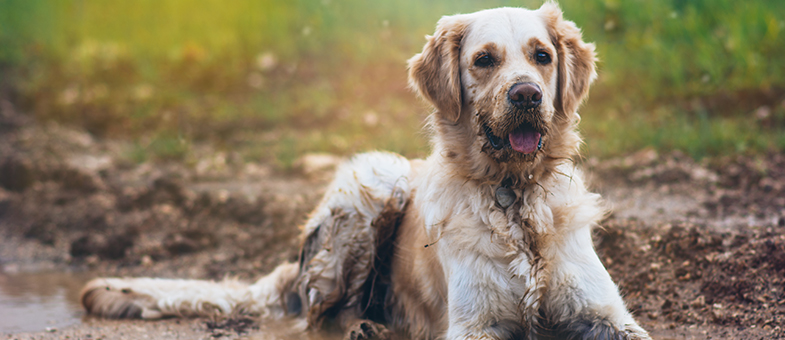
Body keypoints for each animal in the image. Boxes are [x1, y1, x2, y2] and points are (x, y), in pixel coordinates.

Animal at [82, 3, 652, 340]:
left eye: (542, 56)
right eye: (485, 60)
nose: (528, 95)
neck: (515, 198)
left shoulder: (605, 314)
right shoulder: (474, 324)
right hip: (374, 184)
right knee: (317, 319)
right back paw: (367, 329)